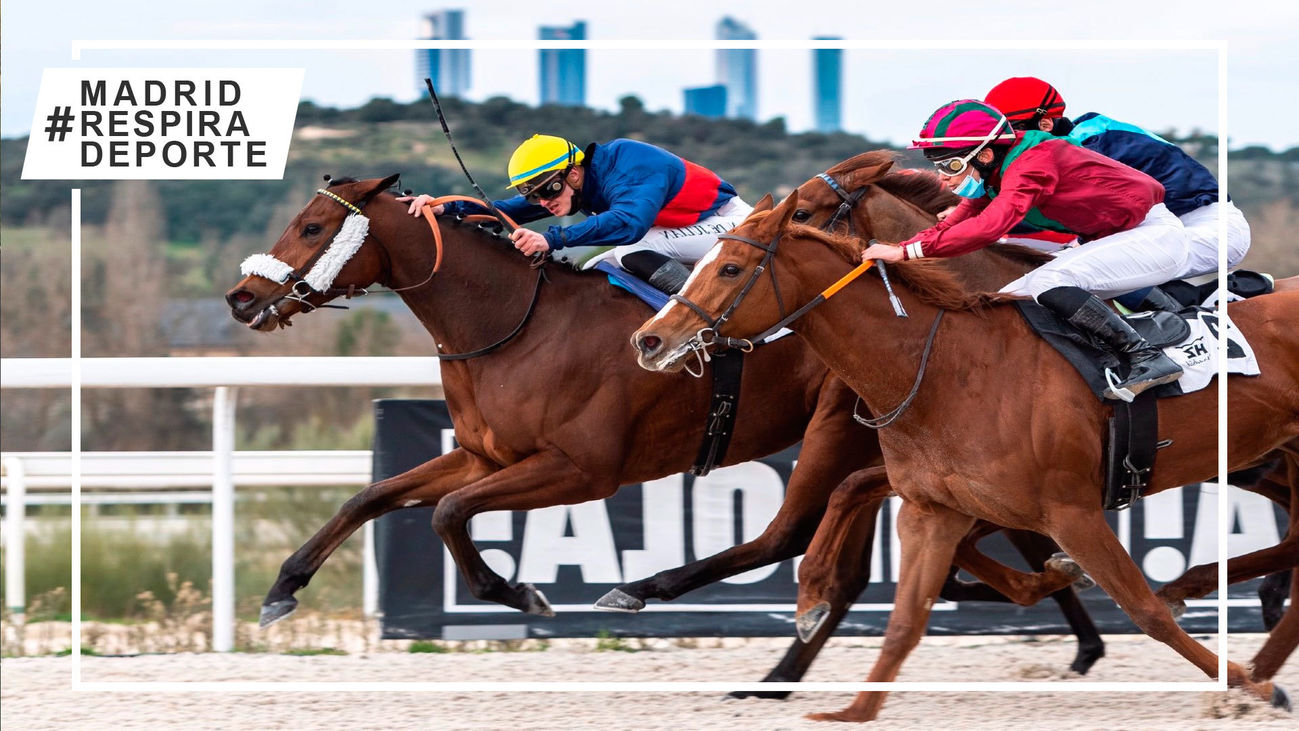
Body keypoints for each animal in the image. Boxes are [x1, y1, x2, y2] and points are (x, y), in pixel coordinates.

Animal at [631, 190, 1299, 721]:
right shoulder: (936, 507)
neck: (949, 365)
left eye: (730, 268)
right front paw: (851, 706)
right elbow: (906, 616)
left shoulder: (1071, 511)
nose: (649, 339)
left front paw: (1245, 687)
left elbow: (1145, 610)